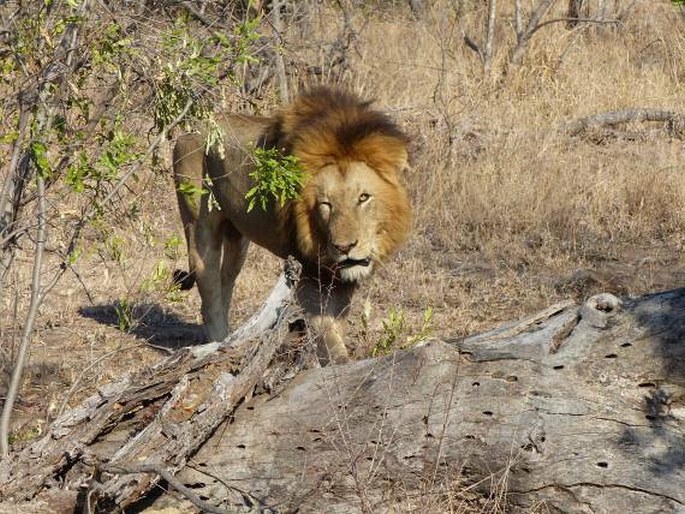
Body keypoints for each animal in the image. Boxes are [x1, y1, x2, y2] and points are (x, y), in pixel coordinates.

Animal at [174, 86, 412, 362]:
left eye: (363, 197)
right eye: (325, 204)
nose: (344, 247)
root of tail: (186, 130)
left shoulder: (340, 279)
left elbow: (337, 324)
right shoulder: (306, 267)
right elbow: (327, 334)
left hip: (237, 238)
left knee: (226, 283)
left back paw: (229, 339)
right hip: (199, 225)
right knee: (209, 294)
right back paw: (217, 347)